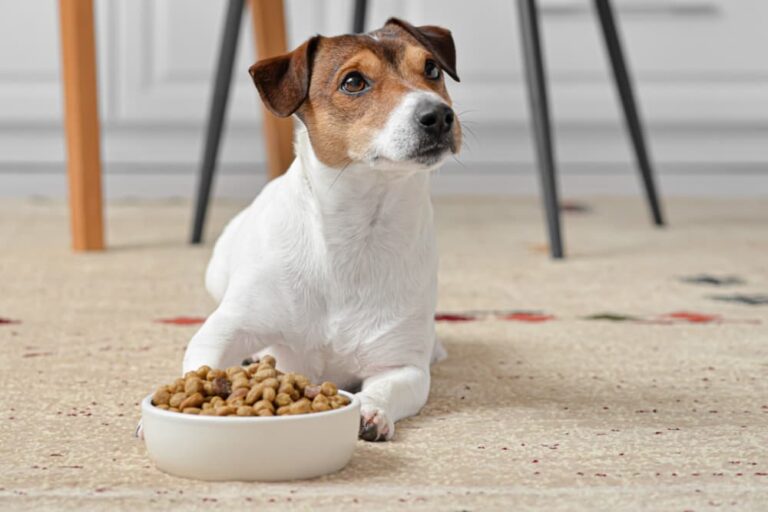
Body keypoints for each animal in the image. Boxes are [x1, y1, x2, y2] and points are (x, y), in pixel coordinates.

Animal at [183, 17, 460, 440]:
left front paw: (370, 412)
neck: (355, 233)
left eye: (431, 69)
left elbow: (386, 389)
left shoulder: (402, 366)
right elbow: (199, 364)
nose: (439, 115)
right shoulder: (222, 330)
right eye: (354, 82)